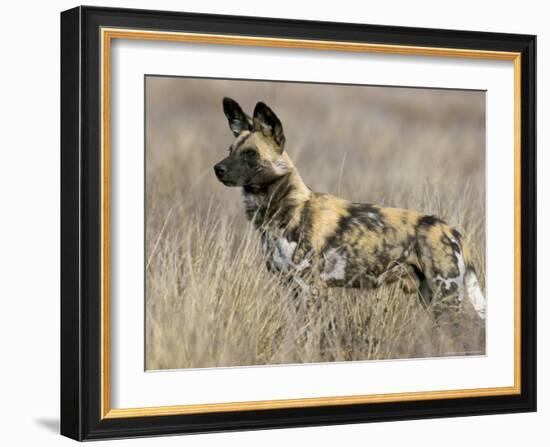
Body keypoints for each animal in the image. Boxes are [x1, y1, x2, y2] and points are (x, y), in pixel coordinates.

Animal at [215, 98, 488, 322]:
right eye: (230, 151)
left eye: (250, 154)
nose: (217, 169)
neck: (285, 209)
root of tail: (452, 231)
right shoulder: (291, 288)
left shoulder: (310, 290)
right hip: (431, 300)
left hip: (446, 300)